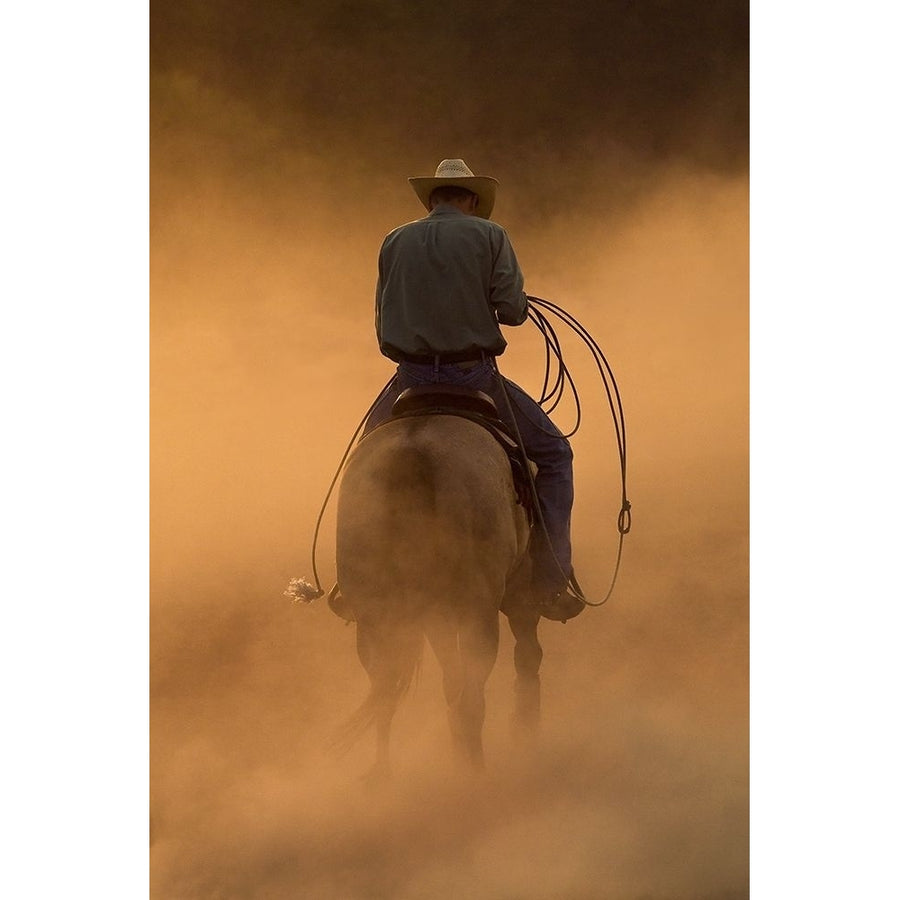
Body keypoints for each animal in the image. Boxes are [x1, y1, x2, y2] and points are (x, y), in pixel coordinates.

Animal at [336, 410, 540, 780]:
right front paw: (526, 728)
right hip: (477, 611)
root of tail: (411, 455)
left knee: (385, 691)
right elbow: (528, 655)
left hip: (379, 617)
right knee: (472, 694)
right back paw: (476, 772)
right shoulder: (519, 588)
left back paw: (382, 773)